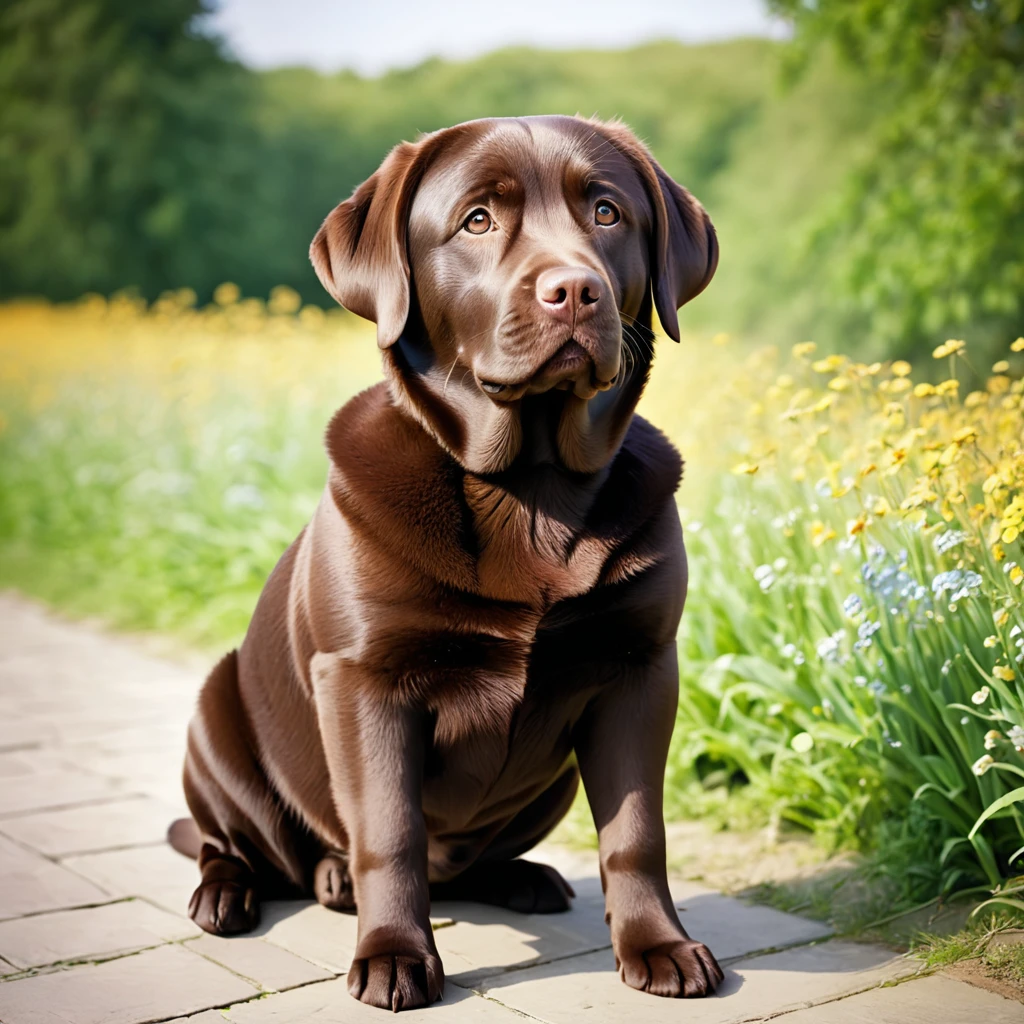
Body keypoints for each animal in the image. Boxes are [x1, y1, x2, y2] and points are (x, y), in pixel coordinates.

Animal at [169, 112, 720, 1007]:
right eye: (477, 221)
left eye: (606, 212)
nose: (575, 289)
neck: (529, 487)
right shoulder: (365, 679)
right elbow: (388, 831)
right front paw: (394, 954)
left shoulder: (640, 666)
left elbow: (638, 830)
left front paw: (659, 945)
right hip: (215, 720)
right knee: (235, 843)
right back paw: (246, 891)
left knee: (465, 862)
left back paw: (521, 877)